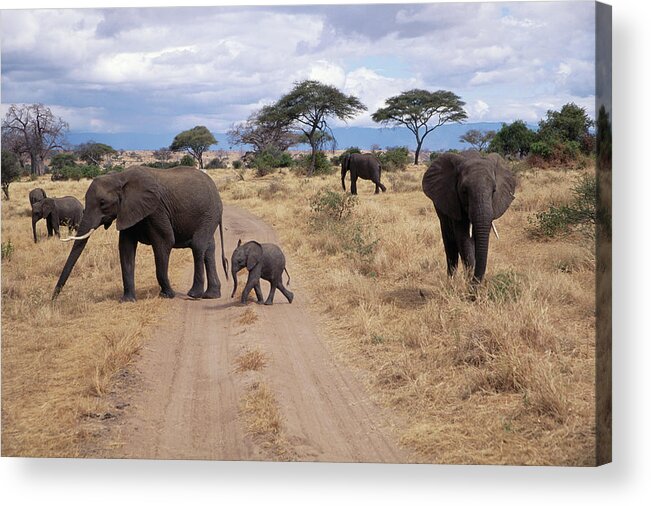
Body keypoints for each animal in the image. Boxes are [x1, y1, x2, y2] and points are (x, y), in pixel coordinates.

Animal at [51, 165, 229, 300]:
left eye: (102, 203)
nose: (53, 299)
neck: (120, 177)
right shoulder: (128, 210)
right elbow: (126, 247)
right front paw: (128, 300)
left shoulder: (156, 209)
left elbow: (165, 241)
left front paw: (167, 295)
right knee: (208, 248)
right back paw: (211, 295)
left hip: (210, 212)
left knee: (198, 245)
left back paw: (194, 294)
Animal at [422, 150, 520, 284]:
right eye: (464, 191)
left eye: (494, 191)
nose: (475, 283)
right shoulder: (454, 203)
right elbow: (464, 240)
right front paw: (470, 284)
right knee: (450, 246)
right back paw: (450, 284)